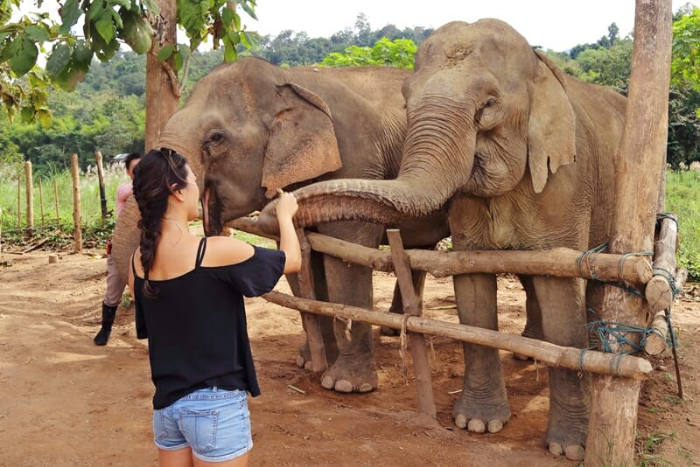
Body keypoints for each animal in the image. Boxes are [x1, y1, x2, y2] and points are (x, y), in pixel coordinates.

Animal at [110, 57, 452, 394]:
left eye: (215, 138)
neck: (290, 80)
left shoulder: (357, 163)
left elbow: (344, 259)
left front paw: (346, 385)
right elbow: (297, 258)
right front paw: (309, 362)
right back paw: (393, 329)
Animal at [258, 19, 628, 460]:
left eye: (489, 104)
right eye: (406, 102)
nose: (277, 202)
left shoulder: (565, 184)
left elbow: (560, 294)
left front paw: (569, 449)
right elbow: (471, 286)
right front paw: (477, 425)